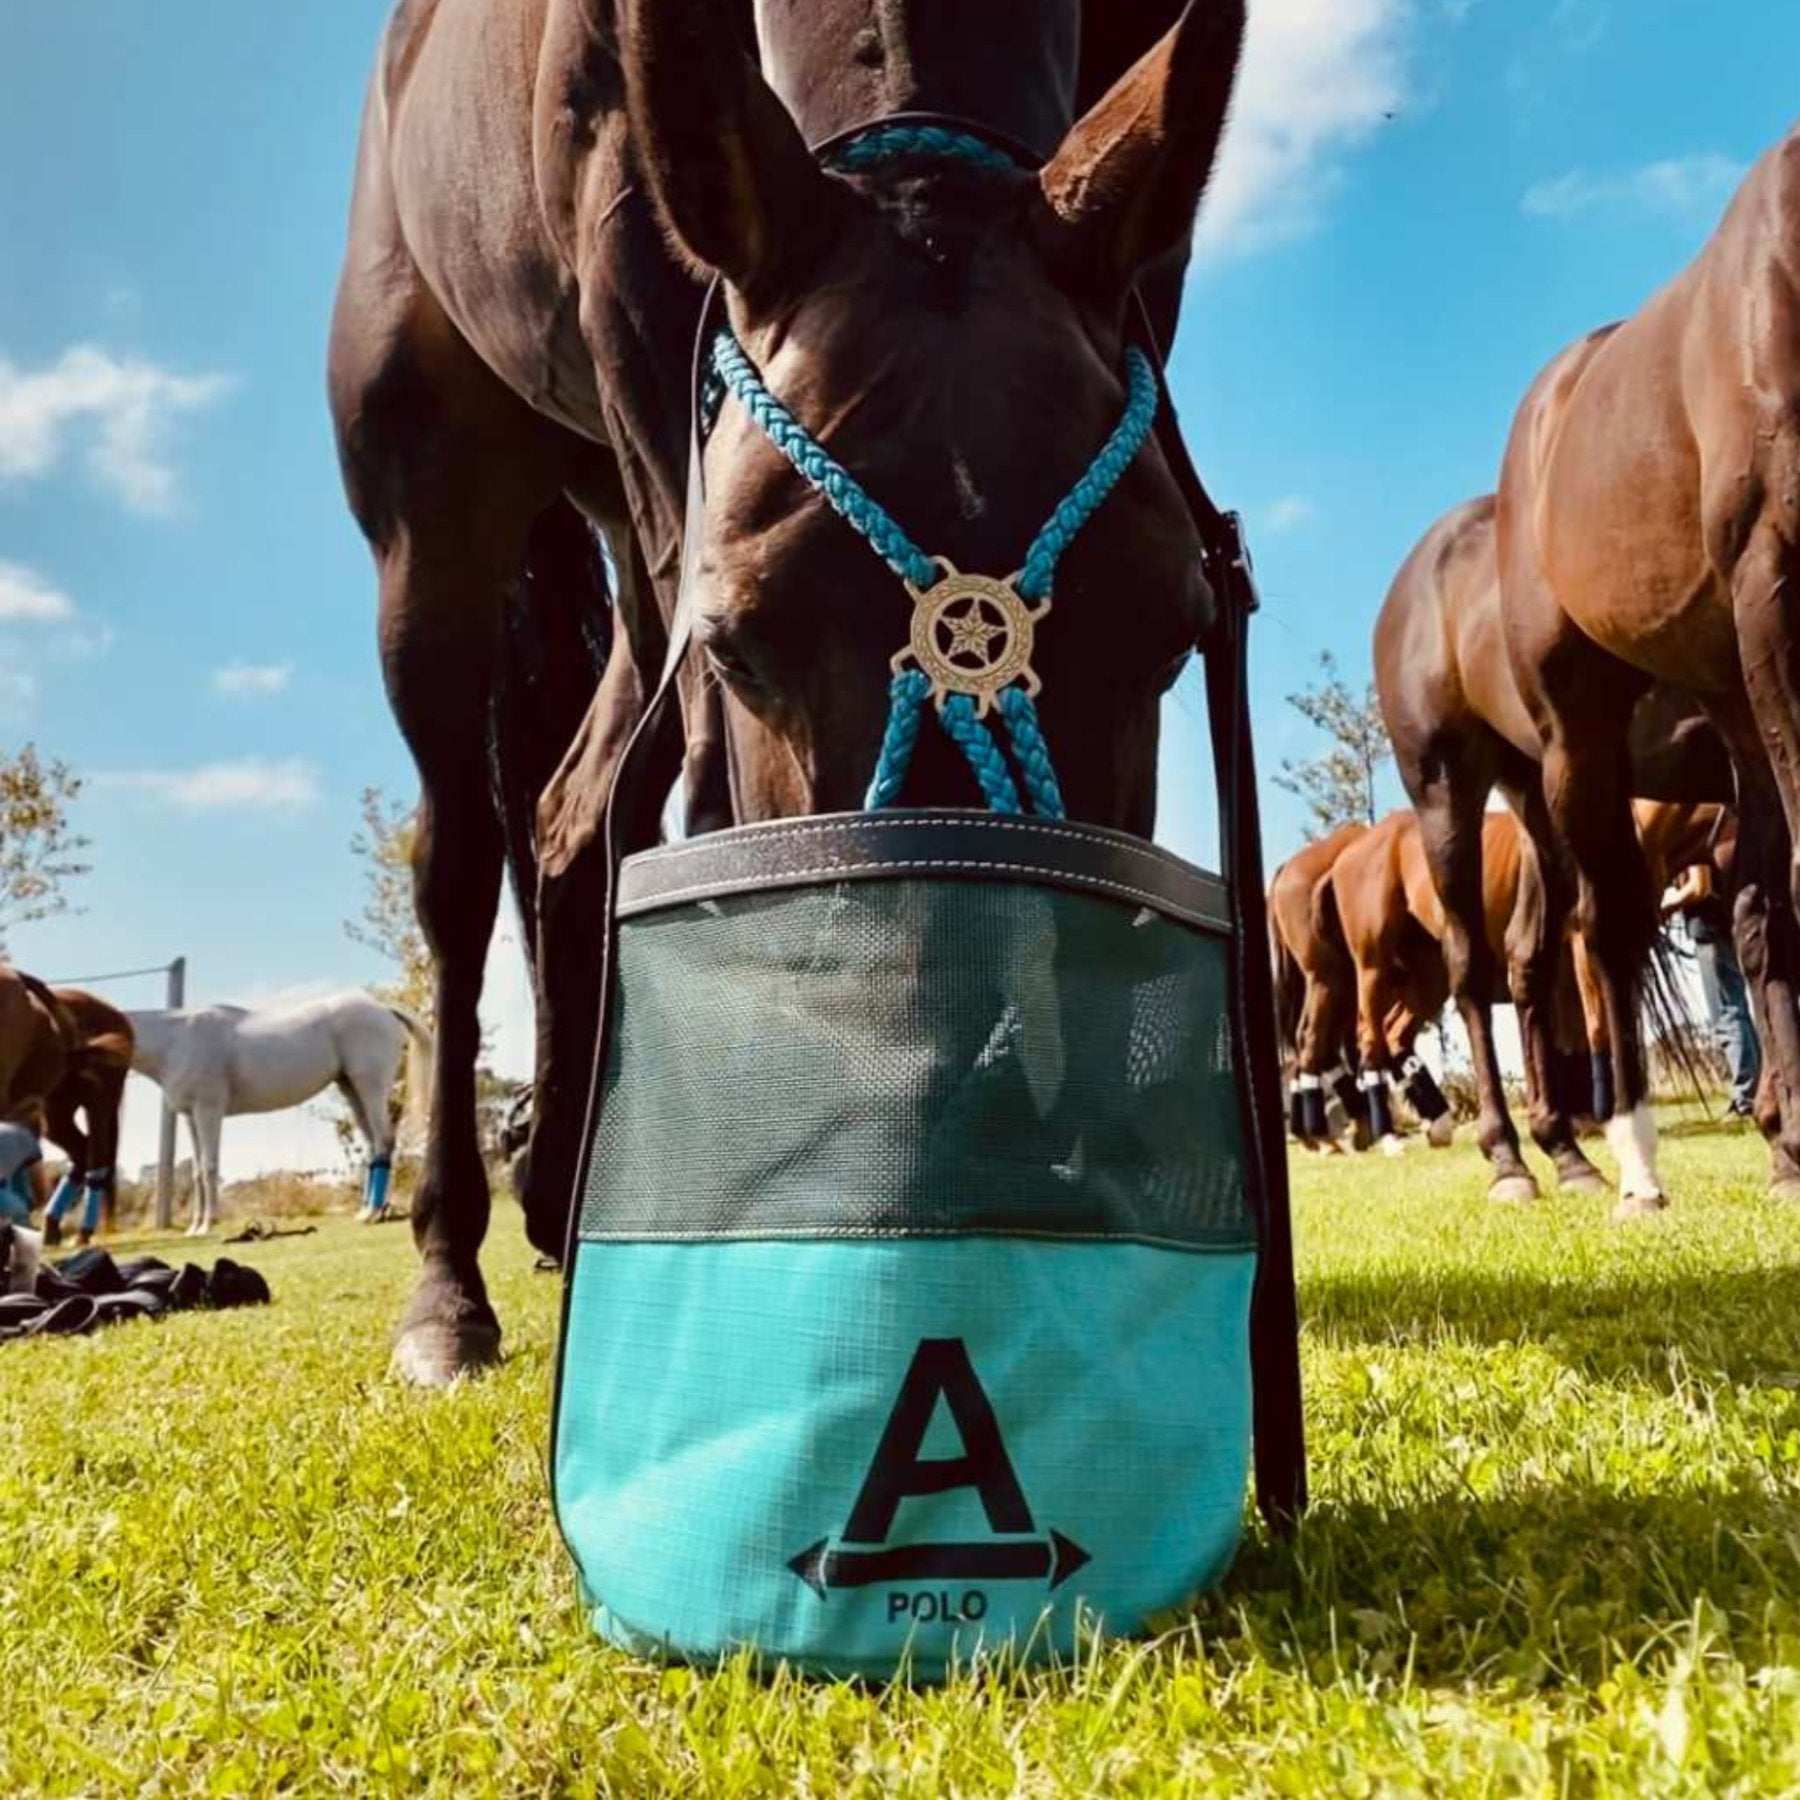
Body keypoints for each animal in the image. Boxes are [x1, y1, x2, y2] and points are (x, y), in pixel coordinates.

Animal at [126, 994, 432, 1236]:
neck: (177, 1038)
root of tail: (382, 1008)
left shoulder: (208, 1111)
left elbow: (209, 1166)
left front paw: (207, 1225)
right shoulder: (191, 1116)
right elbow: (198, 1171)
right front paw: (195, 1227)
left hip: (370, 1087)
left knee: (383, 1140)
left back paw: (374, 1213)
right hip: (351, 1090)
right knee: (372, 1146)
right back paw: (366, 1211)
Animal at [332, 0, 1245, 1382]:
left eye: (1174, 630)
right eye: (742, 649)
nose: (966, 1143)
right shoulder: (640, 286)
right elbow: (714, 791)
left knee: (572, 812)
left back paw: (568, 1192)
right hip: (435, 516)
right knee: (461, 863)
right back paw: (454, 1279)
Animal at [1376, 494, 1734, 1213]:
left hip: (1541, 793)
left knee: (1527, 956)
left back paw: (1566, 1152)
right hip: (1447, 792)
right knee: (1469, 967)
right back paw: (1507, 1160)